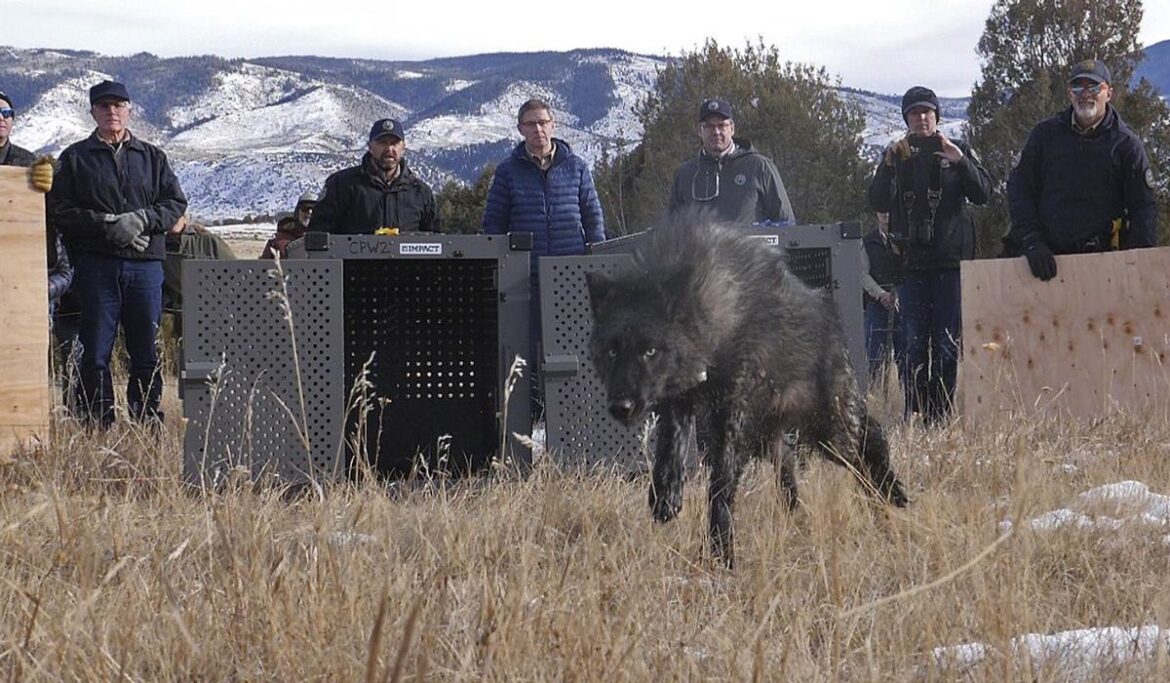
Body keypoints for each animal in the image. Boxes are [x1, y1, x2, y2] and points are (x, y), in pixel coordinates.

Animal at [587, 223, 909, 567]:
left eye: (649, 351)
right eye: (612, 351)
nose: (621, 407)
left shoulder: (732, 418)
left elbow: (720, 485)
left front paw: (721, 553)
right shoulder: (679, 403)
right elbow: (669, 451)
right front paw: (666, 497)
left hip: (830, 432)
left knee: (871, 441)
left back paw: (893, 495)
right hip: (775, 438)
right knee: (791, 466)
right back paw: (801, 517)